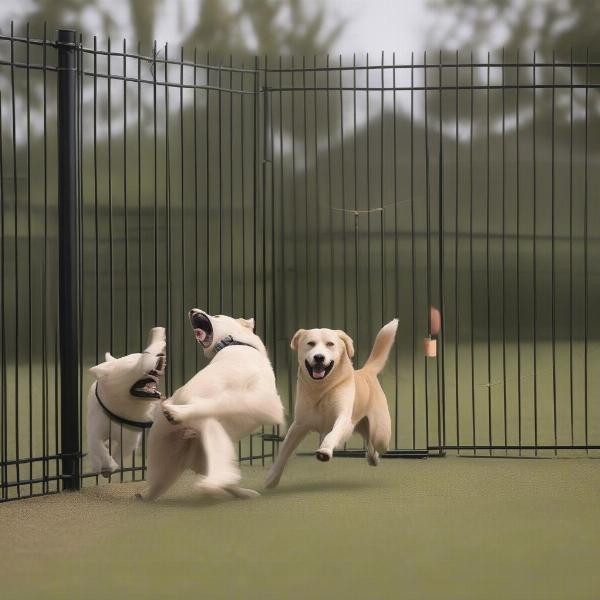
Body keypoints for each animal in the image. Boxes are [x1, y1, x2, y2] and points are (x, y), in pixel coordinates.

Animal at [86, 326, 166, 476]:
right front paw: (107, 464)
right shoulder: (95, 430)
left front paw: (113, 466)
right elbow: (99, 448)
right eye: (136, 363)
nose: (160, 356)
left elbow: (120, 453)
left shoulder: (130, 439)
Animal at [264, 318, 396, 488]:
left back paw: (373, 456)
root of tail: (366, 372)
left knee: (375, 442)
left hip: (381, 434)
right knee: (368, 439)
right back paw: (371, 457)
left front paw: (324, 451)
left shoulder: (343, 419)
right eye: (310, 343)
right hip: (363, 428)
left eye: (330, 344)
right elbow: (283, 452)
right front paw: (271, 478)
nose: (319, 357)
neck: (321, 390)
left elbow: (332, 435)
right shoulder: (299, 425)